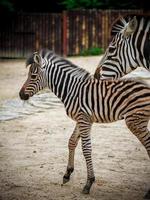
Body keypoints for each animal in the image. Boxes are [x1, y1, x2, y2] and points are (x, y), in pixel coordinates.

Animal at [19, 49, 150, 198]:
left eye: (33, 76)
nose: (20, 95)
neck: (71, 89)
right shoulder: (82, 119)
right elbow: (71, 142)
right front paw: (67, 174)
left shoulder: (84, 119)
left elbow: (86, 149)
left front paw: (89, 183)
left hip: (135, 121)